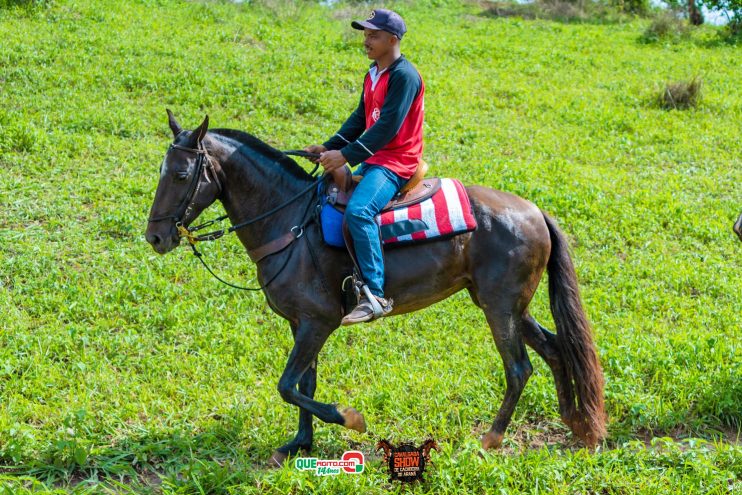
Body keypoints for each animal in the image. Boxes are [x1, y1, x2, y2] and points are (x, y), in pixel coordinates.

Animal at [147, 112, 612, 468]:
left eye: (182, 174)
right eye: (162, 170)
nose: (155, 237)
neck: (292, 221)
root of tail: (534, 211)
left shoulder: (318, 321)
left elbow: (287, 385)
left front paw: (351, 419)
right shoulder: (302, 322)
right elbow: (304, 384)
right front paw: (299, 444)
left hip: (499, 307)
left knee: (518, 369)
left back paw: (491, 439)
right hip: (511, 306)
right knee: (555, 350)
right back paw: (576, 423)